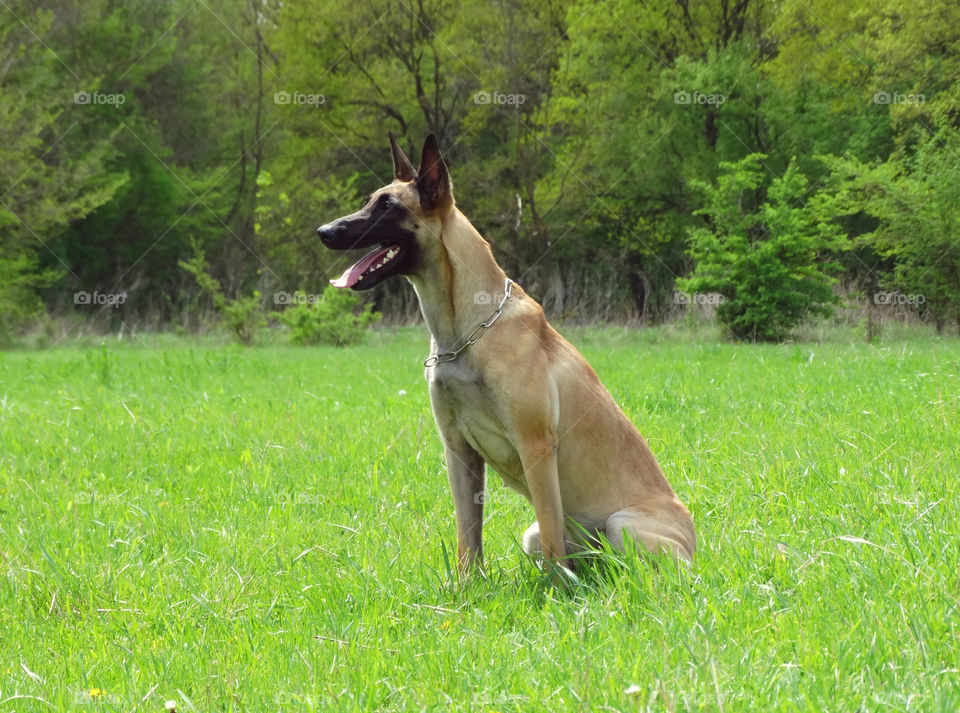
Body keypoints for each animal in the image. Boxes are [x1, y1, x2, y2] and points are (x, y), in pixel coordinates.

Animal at [316, 134, 696, 576]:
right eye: (369, 201)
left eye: (389, 206)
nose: (325, 231)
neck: (468, 330)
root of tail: (696, 547)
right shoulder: (458, 451)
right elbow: (468, 538)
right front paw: (467, 587)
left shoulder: (536, 449)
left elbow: (552, 545)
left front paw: (554, 590)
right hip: (544, 534)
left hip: (623, 525)